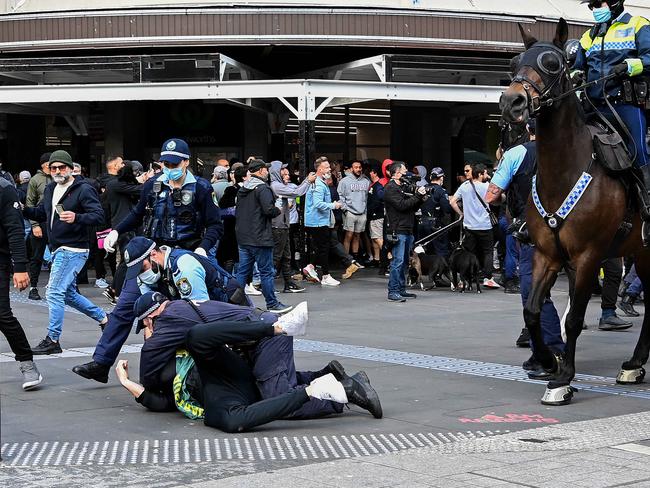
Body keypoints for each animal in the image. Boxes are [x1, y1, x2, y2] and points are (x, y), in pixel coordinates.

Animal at [496, 19, 648, 404]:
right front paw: (548, 360)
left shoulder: (588, 256)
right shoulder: (546, 254)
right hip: (641, 253)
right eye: (514, 62)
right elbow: (532, 310)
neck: (564, 170)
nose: (512, 102)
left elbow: (574, 318)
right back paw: (634, 364)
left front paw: (563, 378)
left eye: (552, 63)